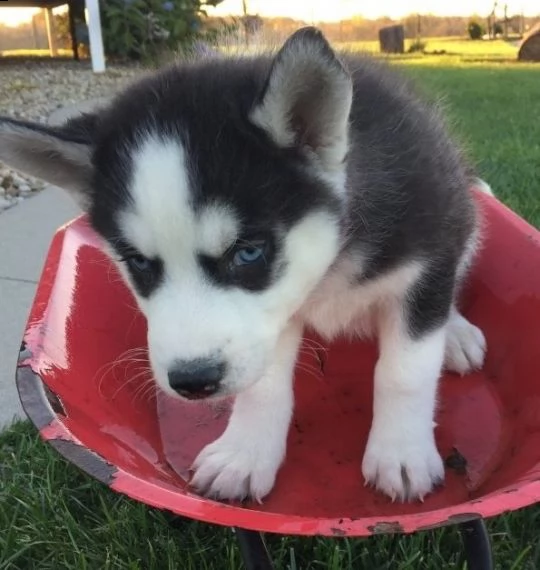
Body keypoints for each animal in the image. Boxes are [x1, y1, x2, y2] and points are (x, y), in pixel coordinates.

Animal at [0, 28, 490, 502]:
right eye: (138, 262)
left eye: (248, 252)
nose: (192, 381)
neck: (328, 269)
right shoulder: (270, 319)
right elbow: (263, 384)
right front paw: (245, 455)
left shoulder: (428, 260)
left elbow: (404, 371)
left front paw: (401, 453)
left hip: (464, 215)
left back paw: (456, 334)